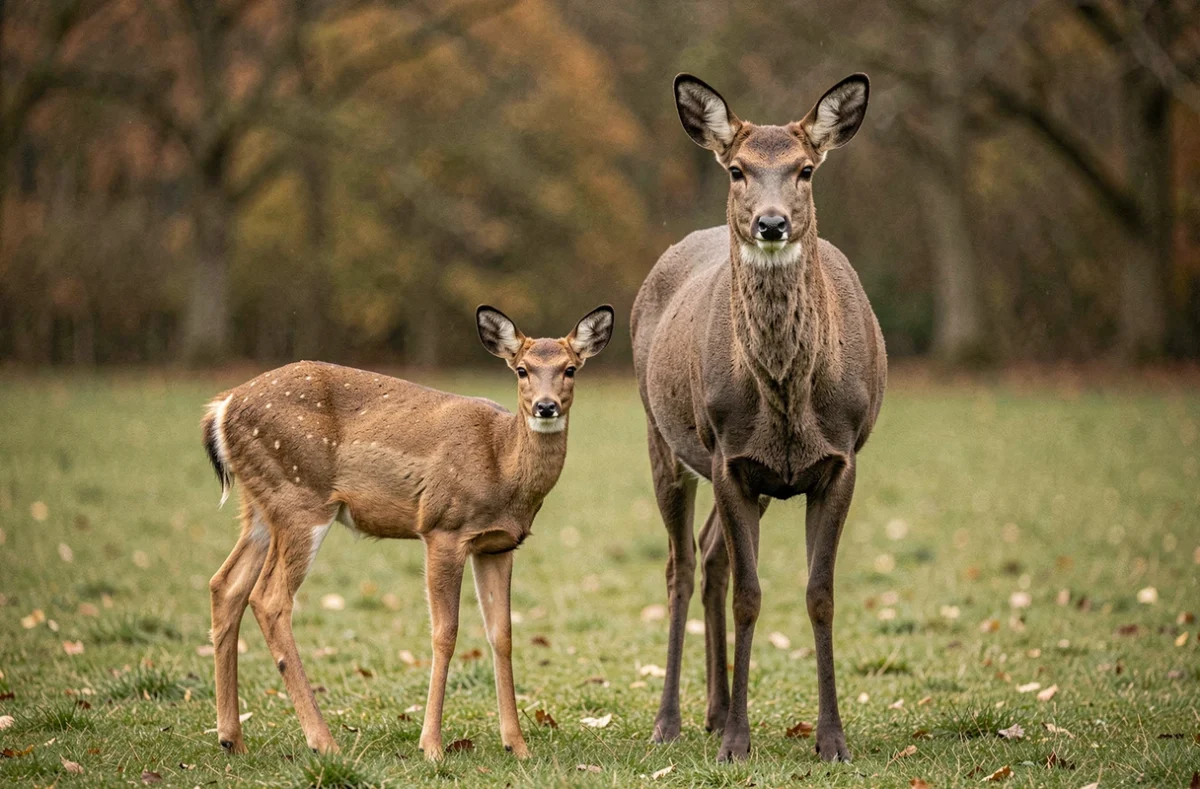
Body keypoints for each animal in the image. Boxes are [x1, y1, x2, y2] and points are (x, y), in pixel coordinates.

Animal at [200, 305, 614, 760]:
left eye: (570, 369)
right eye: (522, 369)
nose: (545, 406)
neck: (502, 464)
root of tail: (221, 408)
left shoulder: (498, 545)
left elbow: (502, 635)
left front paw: (517, 745)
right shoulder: (443, 528)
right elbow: (445, 634)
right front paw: (432, 745)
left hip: (261, 505)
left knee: (226, 584)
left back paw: (232, 738)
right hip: (299, 498)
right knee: (269, 597)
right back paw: (323, 741)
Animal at [631, 73, 886, 763]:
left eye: (806, 169)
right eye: (738, 169)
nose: (772, 223)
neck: (788, 398)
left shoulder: (840, 459)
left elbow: (820, 595)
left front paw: (832, 741)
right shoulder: (727, 454)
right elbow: (751, 596)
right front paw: (737, 745)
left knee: (710, 553)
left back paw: (715, 710)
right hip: (665, 437)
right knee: (680, 565)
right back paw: (671, 722)